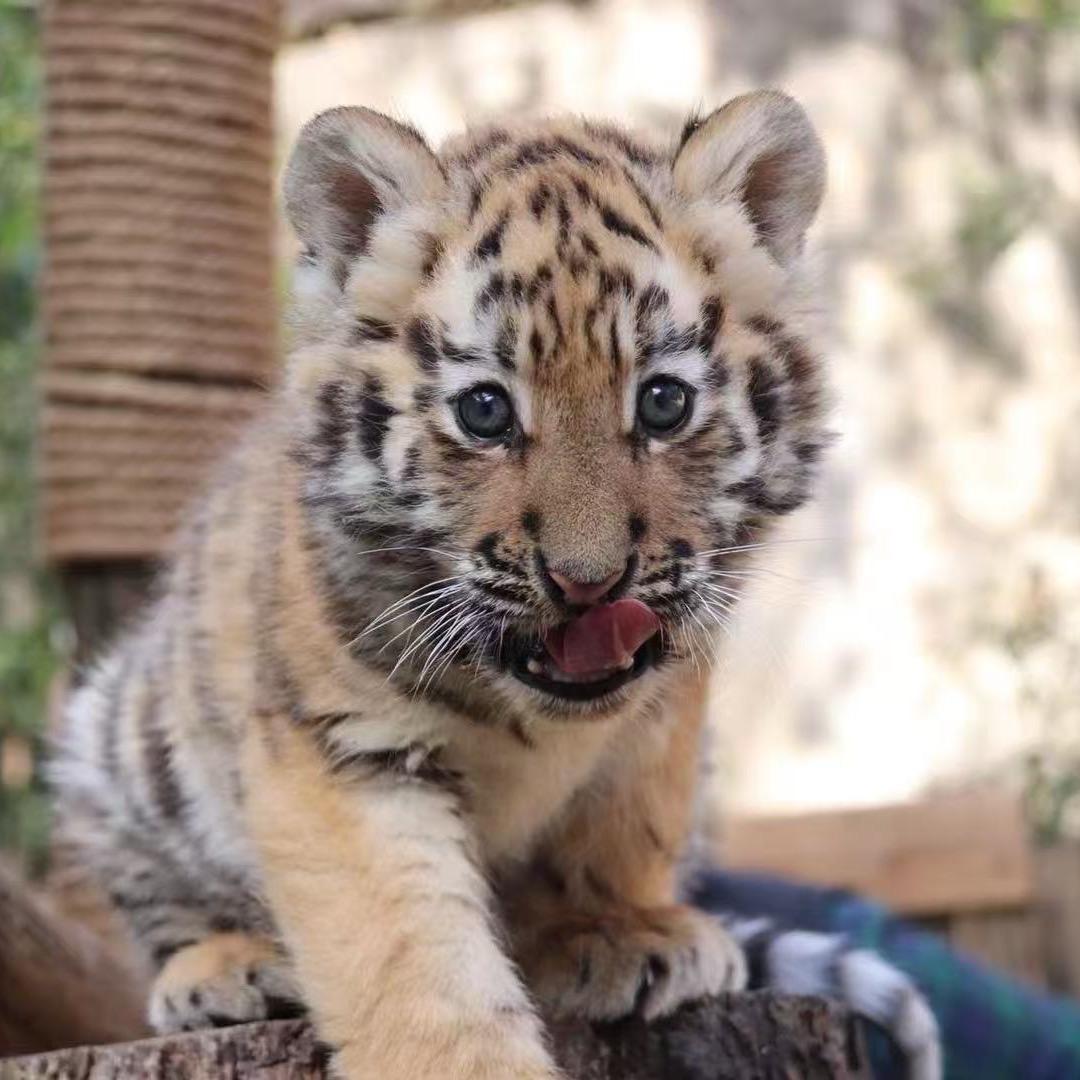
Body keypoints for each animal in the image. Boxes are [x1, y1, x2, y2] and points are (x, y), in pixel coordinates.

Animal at [52, 90, 829, 1079]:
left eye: (664, 402)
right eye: (485, 411)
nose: (588, 582)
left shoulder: (665, 697)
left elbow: (621, 824)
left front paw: (618, 931)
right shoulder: (344, 748)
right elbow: (411, 960)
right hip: (118, 743)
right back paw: (227, 967)